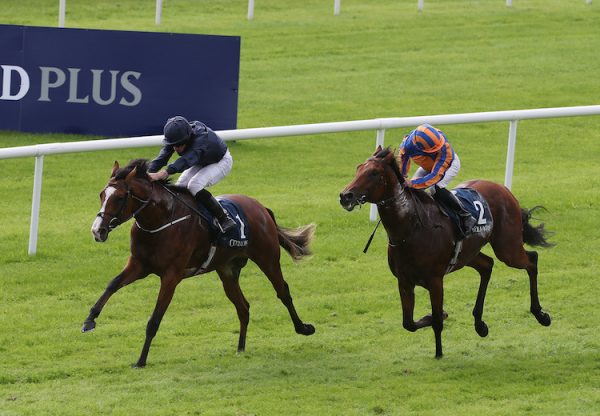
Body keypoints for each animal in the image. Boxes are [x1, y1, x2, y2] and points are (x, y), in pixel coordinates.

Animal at [82, 159, 316, 368]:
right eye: (102, 195)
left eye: (120, 197)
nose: (97, 231)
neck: (161, 220)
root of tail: (261, 208)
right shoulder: (139, 265)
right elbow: (112, 284)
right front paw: (89, 320)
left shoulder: (171, 275)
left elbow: (155, 319)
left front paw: (141, 360)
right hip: (227, 270)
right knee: (243, 306)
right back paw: (240, 348)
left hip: (267, 258)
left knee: (283, 292)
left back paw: (303, 328)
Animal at [340, 147, 552, 358]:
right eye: (358, 168)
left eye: (373, 173)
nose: (345, 196)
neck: (411, 229)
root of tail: (504, 189)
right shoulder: (404, 281)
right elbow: (409, 323)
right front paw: (439, 317)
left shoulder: (435, 280)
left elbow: (436, 321)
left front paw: (439, 353)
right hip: (469, 254)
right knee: (487, 265)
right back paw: (480, 324)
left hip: (507, 249)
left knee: (532, 260)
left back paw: (541, 314)